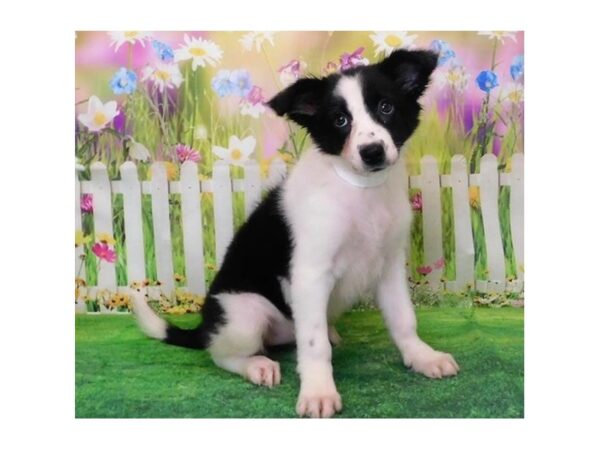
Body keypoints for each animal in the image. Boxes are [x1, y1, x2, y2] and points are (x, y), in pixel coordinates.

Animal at [132, 48, 460, 418]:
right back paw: (256, 365)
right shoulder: (311, 273)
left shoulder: (388, 267)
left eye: (386, 107)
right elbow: (314, 346)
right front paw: (318, 391)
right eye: (339, 120)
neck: (359, 188)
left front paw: (422, 357)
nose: (372, 152)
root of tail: (204, 325)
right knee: (220, 353)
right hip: (245, 315)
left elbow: (404, 320)